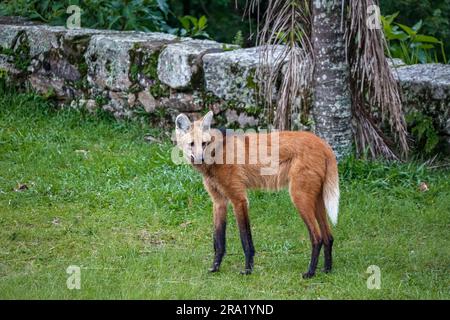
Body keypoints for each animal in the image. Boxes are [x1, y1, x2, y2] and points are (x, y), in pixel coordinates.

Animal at [174, 110, 340, 278]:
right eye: (192, 144)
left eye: (204, 143)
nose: (200, 159)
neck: (217, 154)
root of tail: (323, 143)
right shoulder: (219, 202)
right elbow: (218, 240)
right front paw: (215, 267)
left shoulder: (239, 200)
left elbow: (245, 239)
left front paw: (248, 269)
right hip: (315, 198)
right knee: (329, 236)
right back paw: (327, 269)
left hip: (299, 197)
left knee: (317, 237)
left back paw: (310, 272)